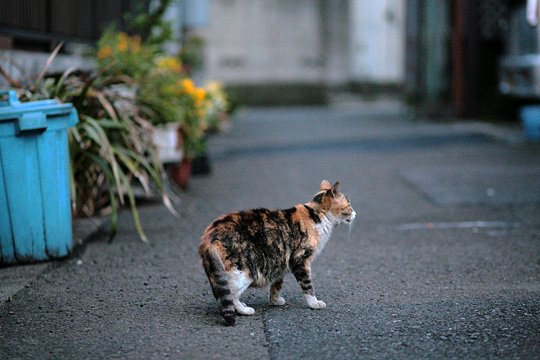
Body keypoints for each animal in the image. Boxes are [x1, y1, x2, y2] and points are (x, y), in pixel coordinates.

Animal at [198, 181, 354, 324]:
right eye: (349, 205)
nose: (355, 213)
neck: (316, 215)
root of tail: (209, 237)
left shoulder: (280, 262)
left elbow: (277, 284)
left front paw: (275, 301)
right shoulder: (300, 260)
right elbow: (307, 285)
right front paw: (314, 303)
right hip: (243, 272)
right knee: (231, 293)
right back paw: (245, 310)